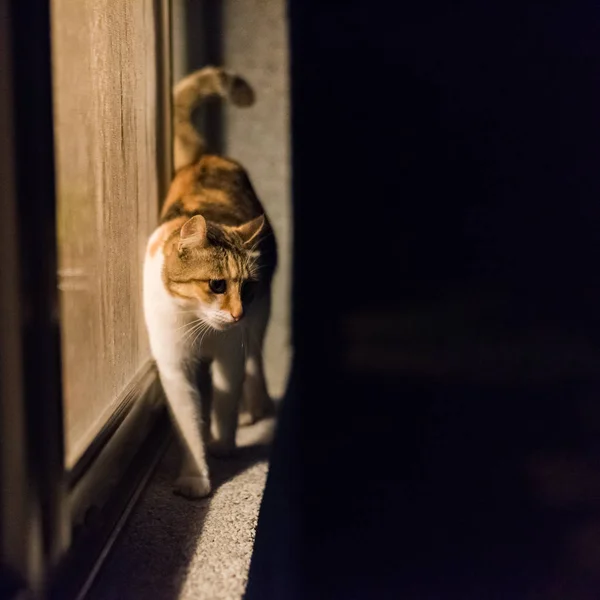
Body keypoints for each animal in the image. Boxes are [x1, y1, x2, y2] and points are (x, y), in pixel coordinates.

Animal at [143, 67, 276, 496]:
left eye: (245, 287)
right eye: (217, 285)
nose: (236, 313)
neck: (195, 324)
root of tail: (205, 156)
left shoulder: (230, 351)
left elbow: (225, 402)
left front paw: (223, 444)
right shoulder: (172, 364)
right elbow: (188, 423)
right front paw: (195, 477)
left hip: (262, 315)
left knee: (256, 360)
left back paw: (258, 406)